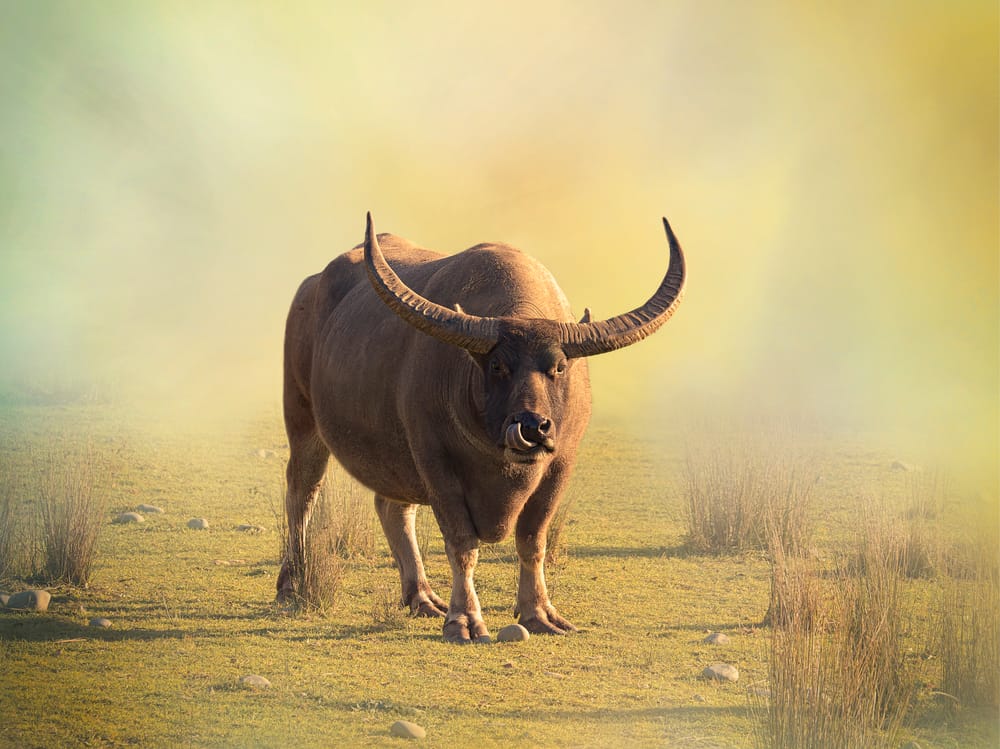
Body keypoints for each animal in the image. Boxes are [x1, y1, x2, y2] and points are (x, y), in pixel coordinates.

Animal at [277, 214, 686, 642]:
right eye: (497, 366)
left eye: (558, 367)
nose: (533, 428)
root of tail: (310, 287)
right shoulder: (436, 461)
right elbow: (462, 545)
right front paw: (464, 620)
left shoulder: (561, 464)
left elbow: (533, 539)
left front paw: (539, 613)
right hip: (304, 420)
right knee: (302, 492)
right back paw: (291, 582)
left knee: (394, 507)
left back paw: (421, 596)